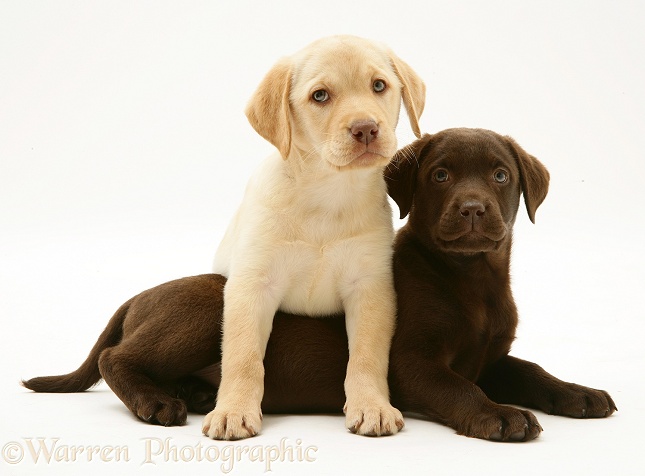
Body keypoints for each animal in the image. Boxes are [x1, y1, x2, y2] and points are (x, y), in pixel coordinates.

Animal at [204, 35, 426, 440]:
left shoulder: (369, 287)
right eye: (320, 96)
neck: (327, 196)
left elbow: (367, 356)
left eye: (379, 86)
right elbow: (243, 357)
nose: (366, 128)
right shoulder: (253, 285)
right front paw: (233, 410)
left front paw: (371, 404)